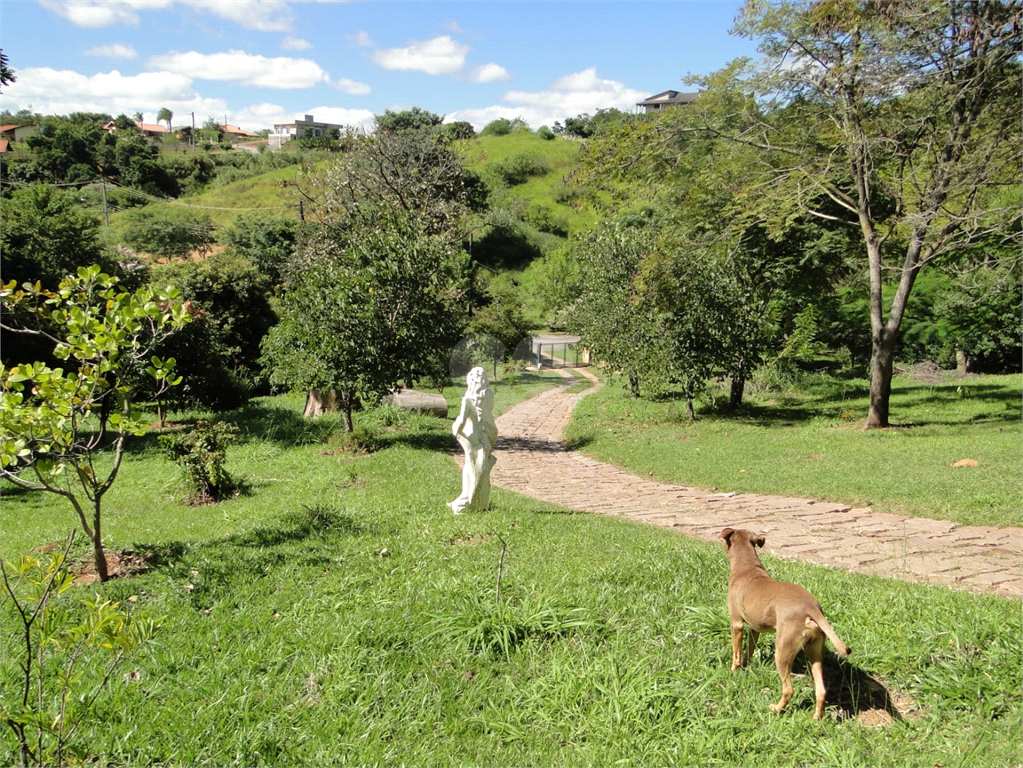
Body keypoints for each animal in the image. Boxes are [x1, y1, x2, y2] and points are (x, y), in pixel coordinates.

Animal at [724, 527, 851, 719]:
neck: (747, 567)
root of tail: (811, 607)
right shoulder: (755, 628)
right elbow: (749, 649)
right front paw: (746, 664)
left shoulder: (737, 623)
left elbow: (736, 653)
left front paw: (733, 670)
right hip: (814, 652)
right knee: (821, 690)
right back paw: (816, 718)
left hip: (783, 651)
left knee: (788, 689)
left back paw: (776, 709)